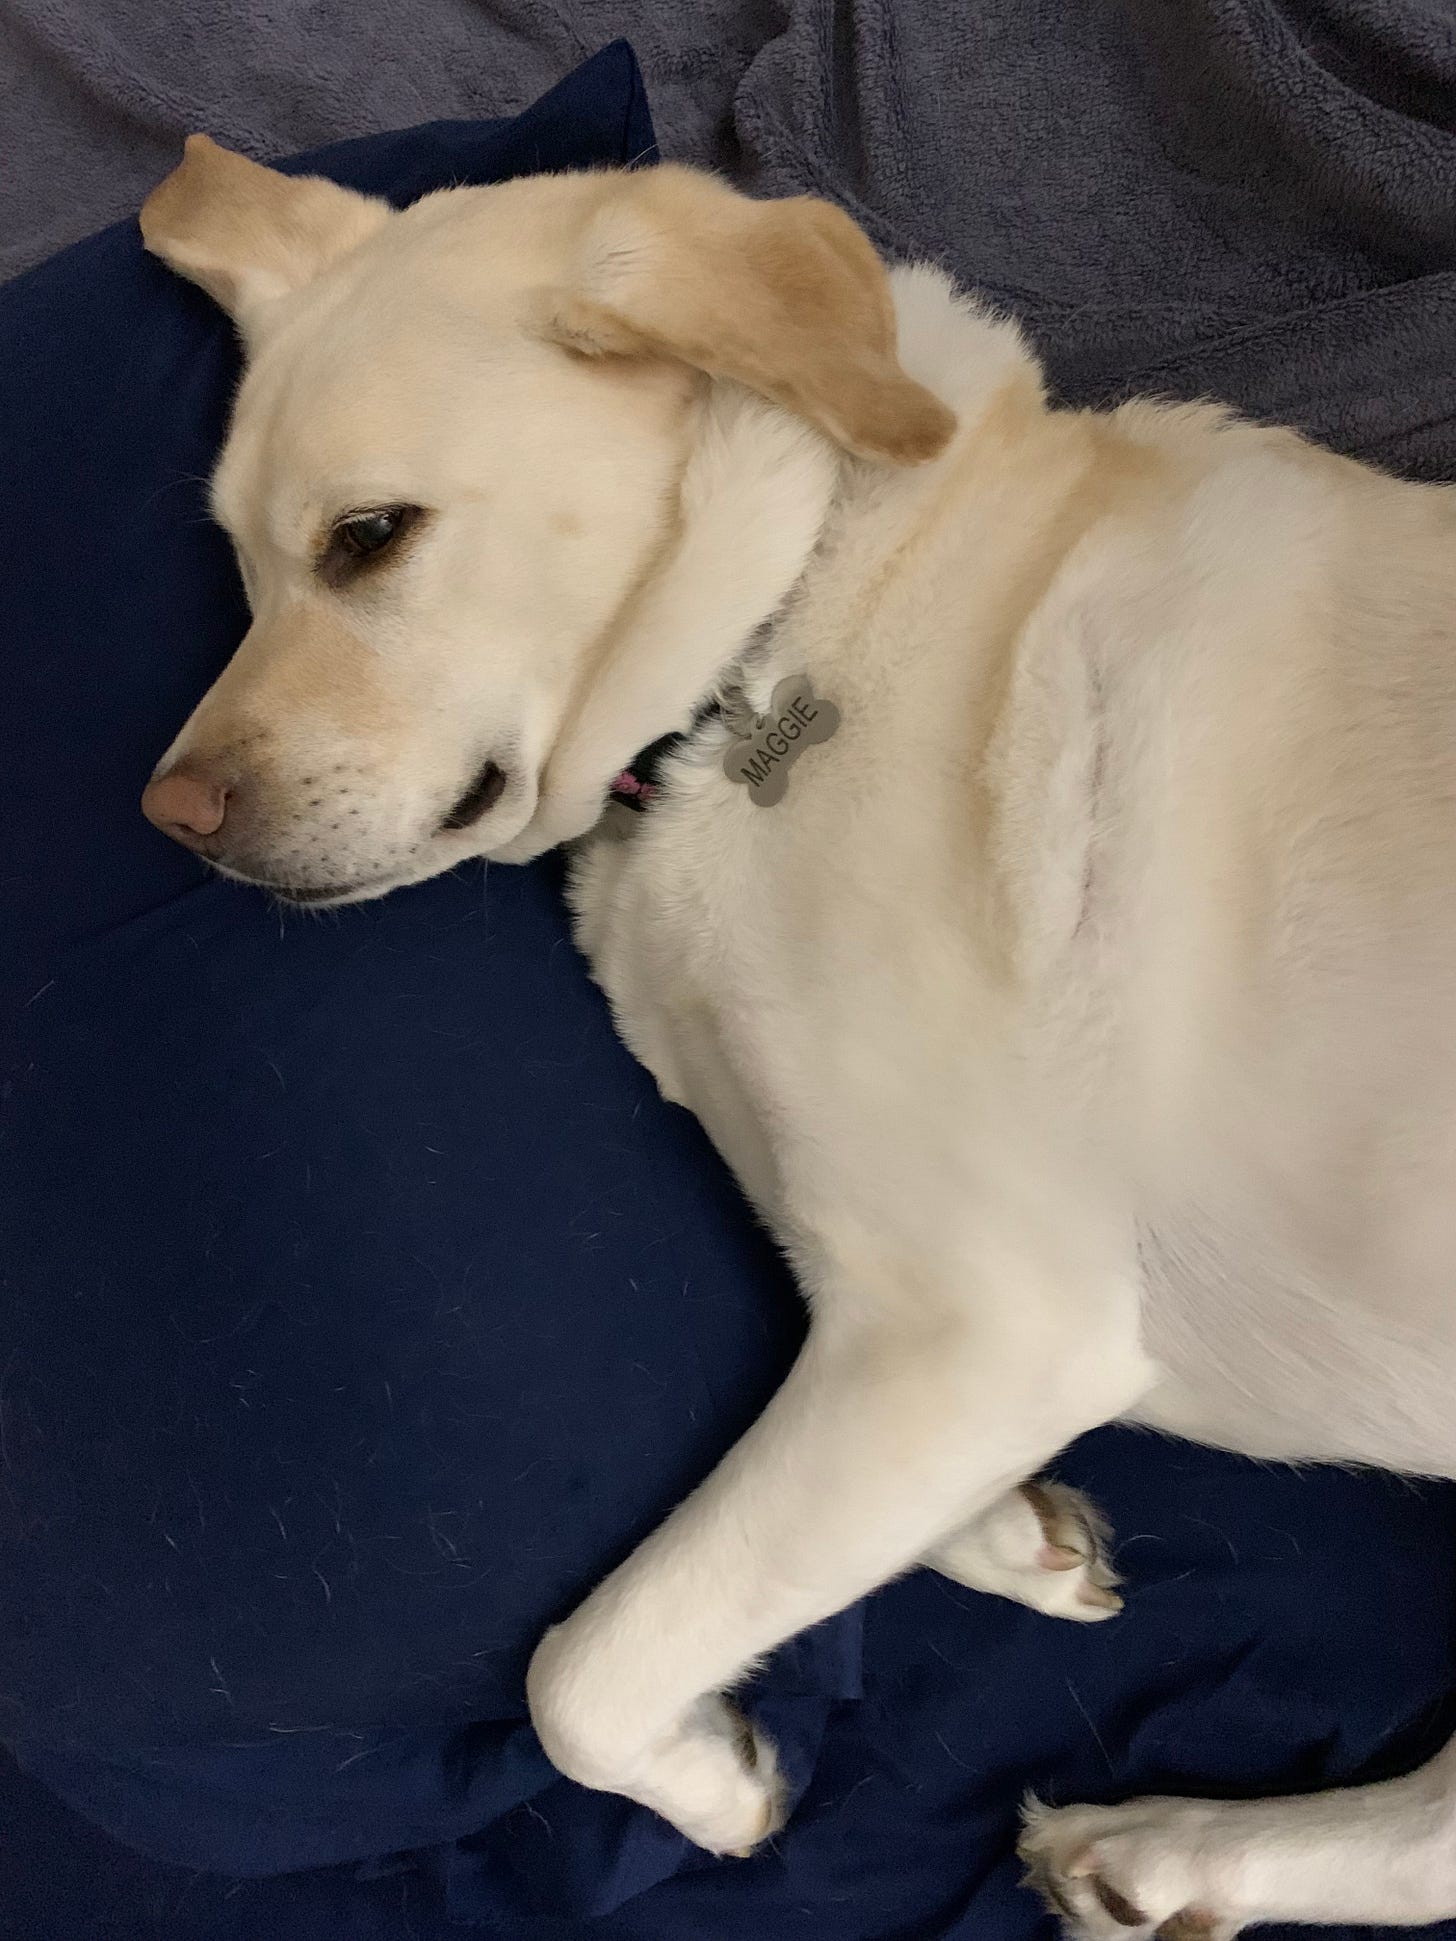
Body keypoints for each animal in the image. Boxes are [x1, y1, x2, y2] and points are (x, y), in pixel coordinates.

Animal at [136, 143, 1456, 1933]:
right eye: (243, 566)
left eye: (369, 539)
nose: (171, 819)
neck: (780, 643)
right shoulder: (908, 1314)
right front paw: (1010, 1536)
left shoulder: (992, 1319)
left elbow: (582, 1673)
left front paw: (709, 1777)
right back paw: (1167, 1853)